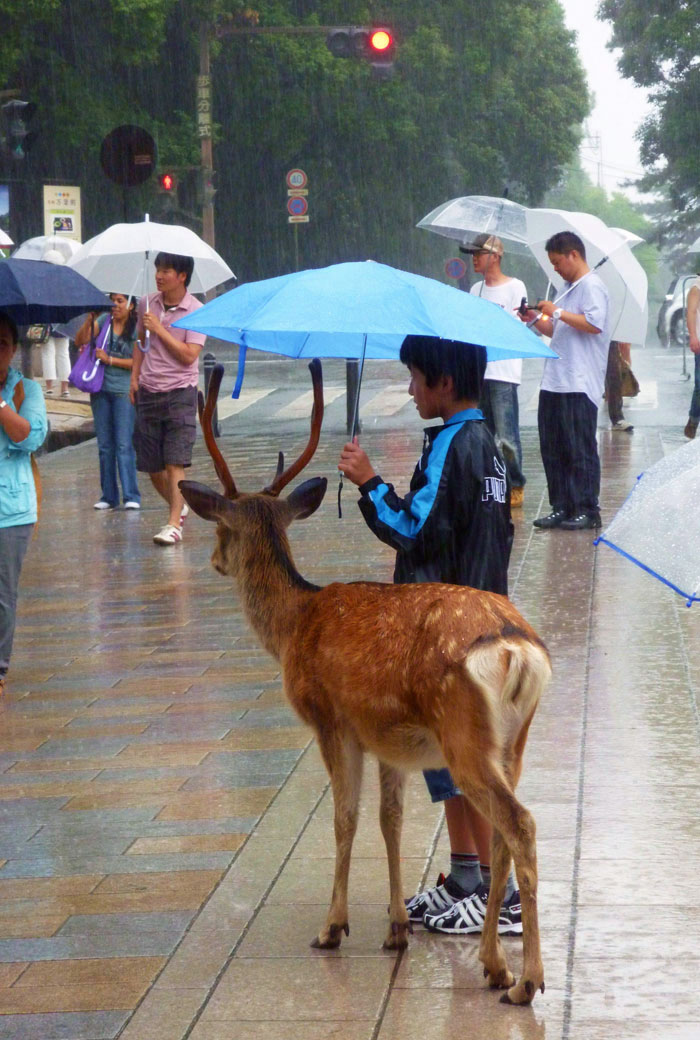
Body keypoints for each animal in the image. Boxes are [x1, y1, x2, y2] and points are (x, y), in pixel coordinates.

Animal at [179, 361, 553, 1002]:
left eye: (221, 530)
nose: (215, 561)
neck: (294, 624)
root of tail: (517, 648)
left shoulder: (332, 719)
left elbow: (345, 819)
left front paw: (333, 927)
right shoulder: (389, 739)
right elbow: (390, 821)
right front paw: (396, 928)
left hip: (464, 735)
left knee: (520, 825)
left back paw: (524, 980)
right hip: (513, 741)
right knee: (503, 832)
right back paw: (492, 964)